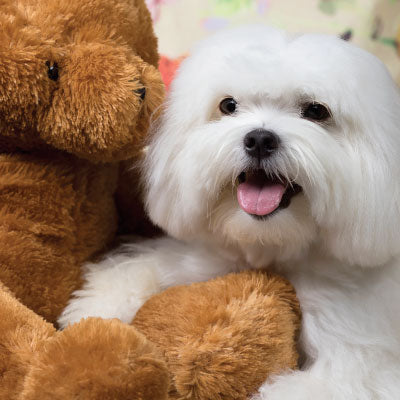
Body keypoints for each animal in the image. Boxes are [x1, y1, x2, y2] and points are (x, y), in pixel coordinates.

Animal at [60, 26, 400, 398]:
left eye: (315, 111)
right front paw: (96, 310)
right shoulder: (202, 263)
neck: (271, 247)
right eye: (228, 105)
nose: (260, 139)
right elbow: (145, 269)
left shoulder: (356, 360)